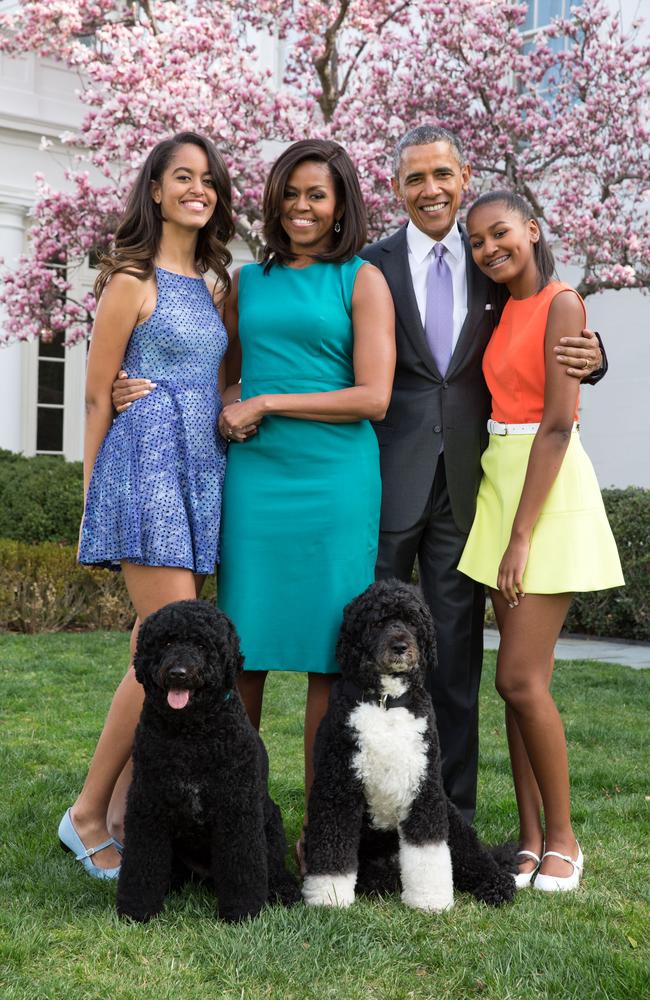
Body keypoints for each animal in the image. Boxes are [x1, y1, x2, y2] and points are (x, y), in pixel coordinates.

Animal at [116, 596, 298, 924]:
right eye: (167, 641)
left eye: (202, 645)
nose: (178, 672)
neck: (191, 736)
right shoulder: (148, 805)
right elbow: (142, 863)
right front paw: (137, 909)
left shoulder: (236, 809)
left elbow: (242, 867)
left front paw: (242, 911)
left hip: (271, 822)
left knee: (274, 866)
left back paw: (284, 891)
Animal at [302, 580, 512, 916]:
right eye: (378, 622)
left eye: (412, 621)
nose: (400, 646)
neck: (387, 703)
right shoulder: (338, 787)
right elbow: (333, 849)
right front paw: (329, 898)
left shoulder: (424, 790)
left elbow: (428, 851)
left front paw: (430, 899)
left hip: (452, 819)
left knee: (476, 857)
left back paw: (497, 884)